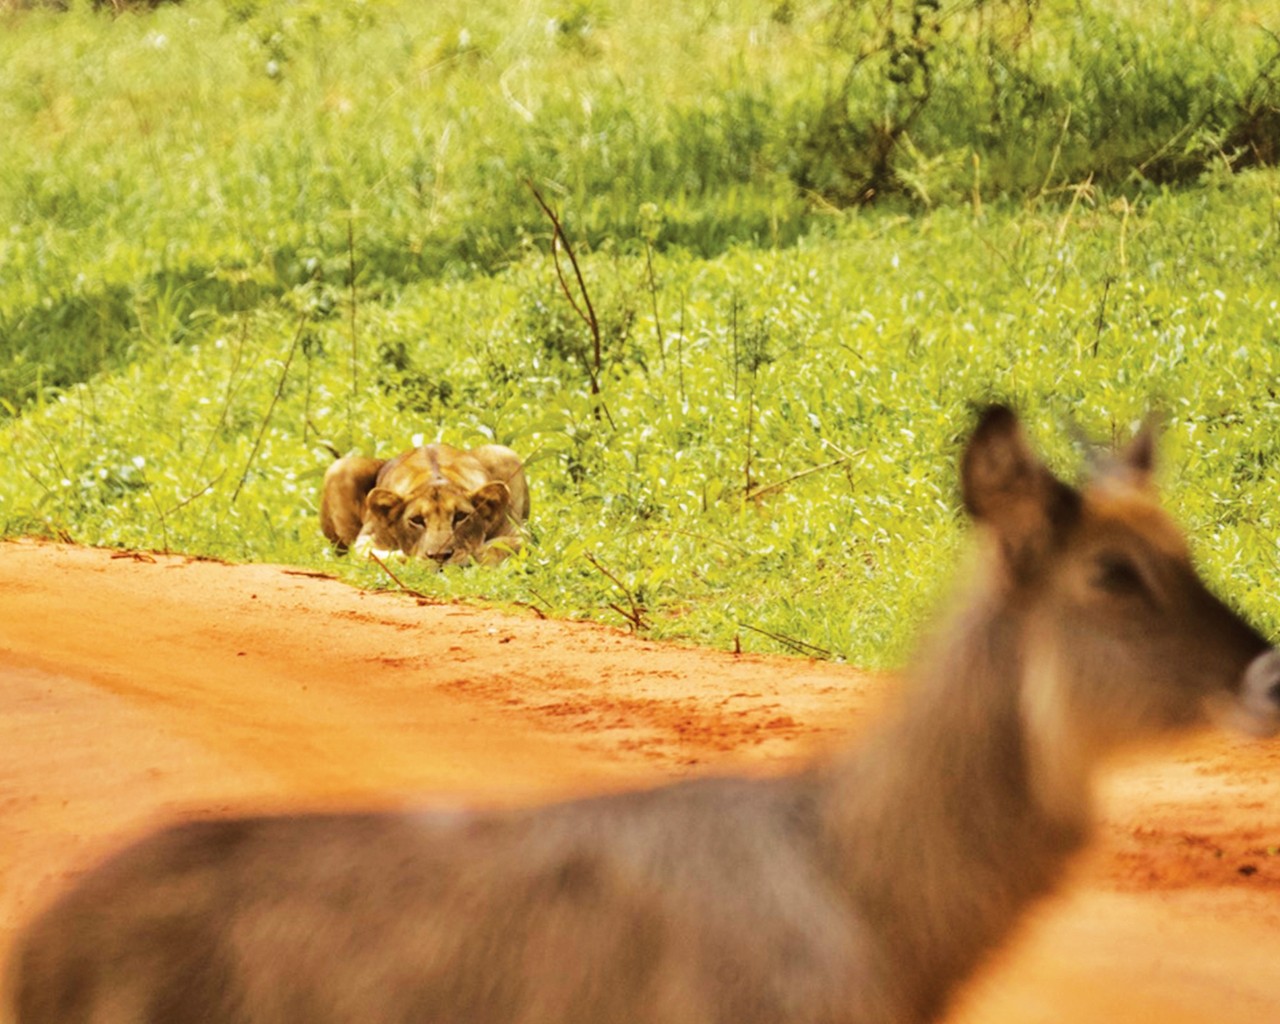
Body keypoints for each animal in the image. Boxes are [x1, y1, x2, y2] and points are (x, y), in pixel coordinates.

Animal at [319, 443, 529, 567]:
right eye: (417, 520)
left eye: (460, 516)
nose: (439, 556)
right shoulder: (367, 538)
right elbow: (372, 555)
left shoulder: (517, 532)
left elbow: (501, 546)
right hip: (340, 467)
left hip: (502, 452)